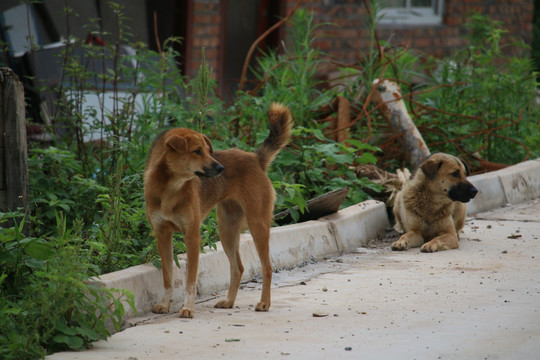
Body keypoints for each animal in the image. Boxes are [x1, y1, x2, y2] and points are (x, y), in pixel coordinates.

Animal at [143, 102, 292, 316]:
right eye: (197, 151)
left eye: (207, 150)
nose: (221, 168)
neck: (170, 189)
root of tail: (255, 158)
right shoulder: (162, 234)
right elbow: (167, 276)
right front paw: (165, 304)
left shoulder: (192, 235)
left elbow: (190, 280)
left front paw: (187, 308)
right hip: (227, 230)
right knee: (238, 267)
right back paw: (229, 301)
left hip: (257, 225)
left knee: (267, 267)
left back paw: (264, 303)